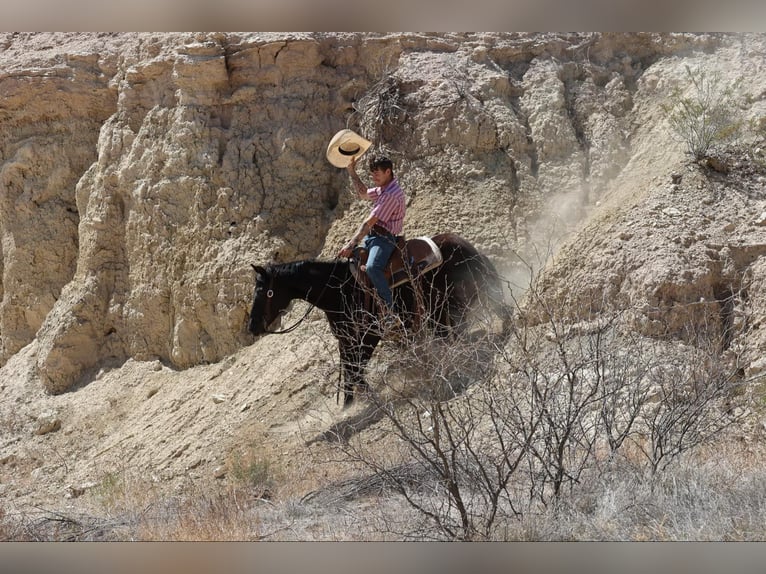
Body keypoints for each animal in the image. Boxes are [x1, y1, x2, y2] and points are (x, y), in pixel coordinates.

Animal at [248, 232, 510, 407]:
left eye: (263, 291)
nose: (252, 326)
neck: (339, 291)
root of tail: (461, 243)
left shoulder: (369, 336)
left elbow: (356, 370)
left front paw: (365, 401)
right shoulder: (346, 340)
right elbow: (351, 371)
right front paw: (350, 403)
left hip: (461, 297)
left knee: (494, 310)